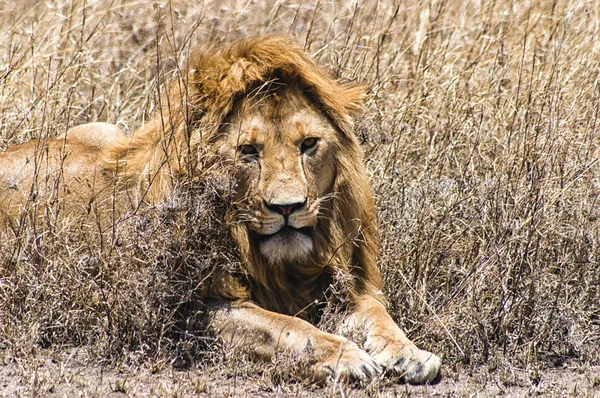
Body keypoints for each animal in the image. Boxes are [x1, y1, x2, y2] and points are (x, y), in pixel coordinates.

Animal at [0, 36, 440, 386]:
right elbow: (286, 327)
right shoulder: (192, 311)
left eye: (309, 144)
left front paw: (412, 354)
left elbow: (377, 313)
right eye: (248, 151)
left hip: (107, 132)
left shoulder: (337, 285)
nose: (288, 207)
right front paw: (347, 356)